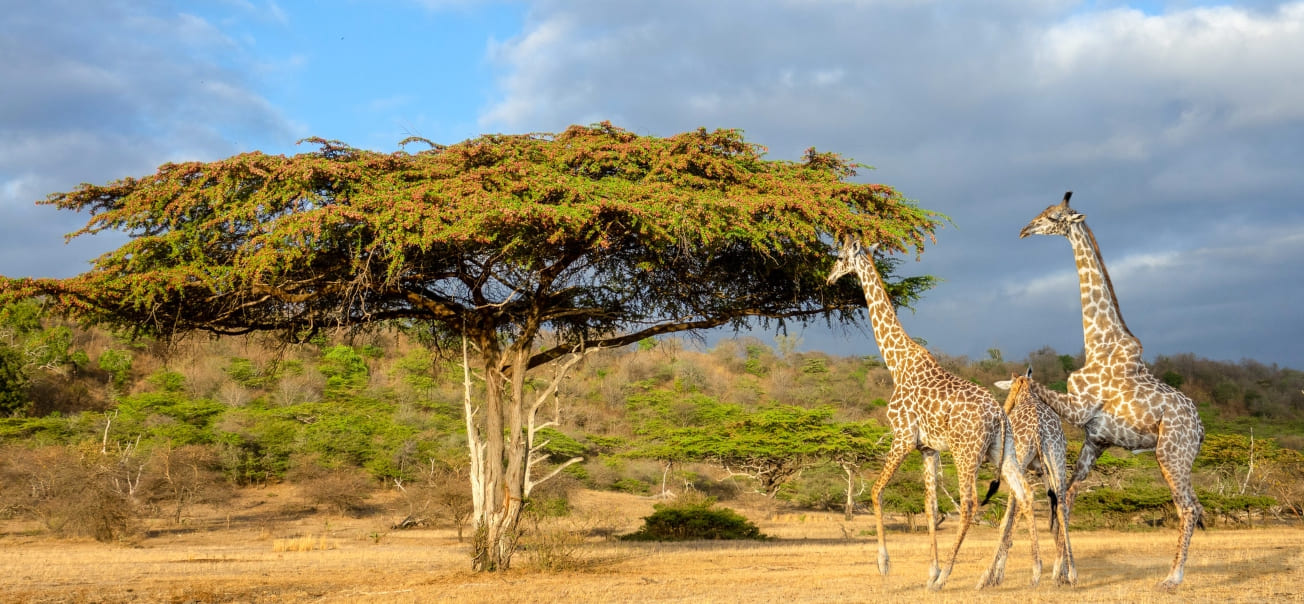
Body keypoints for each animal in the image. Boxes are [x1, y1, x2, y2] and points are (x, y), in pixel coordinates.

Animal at [827, 236, 1040, 591]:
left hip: (966, 453)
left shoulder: (902, 436)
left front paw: (886, 564)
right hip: (1002, 450)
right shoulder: (927, 448)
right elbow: (930, 506)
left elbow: (876, 491)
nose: (829, 278)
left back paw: (947, 577)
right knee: (1024, 493)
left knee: (969, 504)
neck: (896, 362)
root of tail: (998, 415)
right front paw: (929, 571)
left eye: (841, 257)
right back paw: (1039, 570)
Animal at [993, 367, 1076, 586]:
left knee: (1021, 503)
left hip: (1020, 459)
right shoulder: (1041, 470)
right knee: (1063, 503)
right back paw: (1068, 572)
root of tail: (1039, 429)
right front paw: (1062, 571)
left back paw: (1034, 571)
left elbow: (1009, 517)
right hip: (1057, 458)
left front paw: (995, 574)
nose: (1005, 407)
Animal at [1019, 191, 1205, 590]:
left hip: (1170, 453)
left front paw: (1063, 570)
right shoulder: (1095, 440)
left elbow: (1026, 380)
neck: (1098, 342)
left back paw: (1172, 577)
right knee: (1196, 505)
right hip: (1183, 459)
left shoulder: (1079, 408)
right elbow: (1066, 498)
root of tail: (1200, 430)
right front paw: (1062, 571)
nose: (1025, 230)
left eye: (1054, 217)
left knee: (1185, 507)